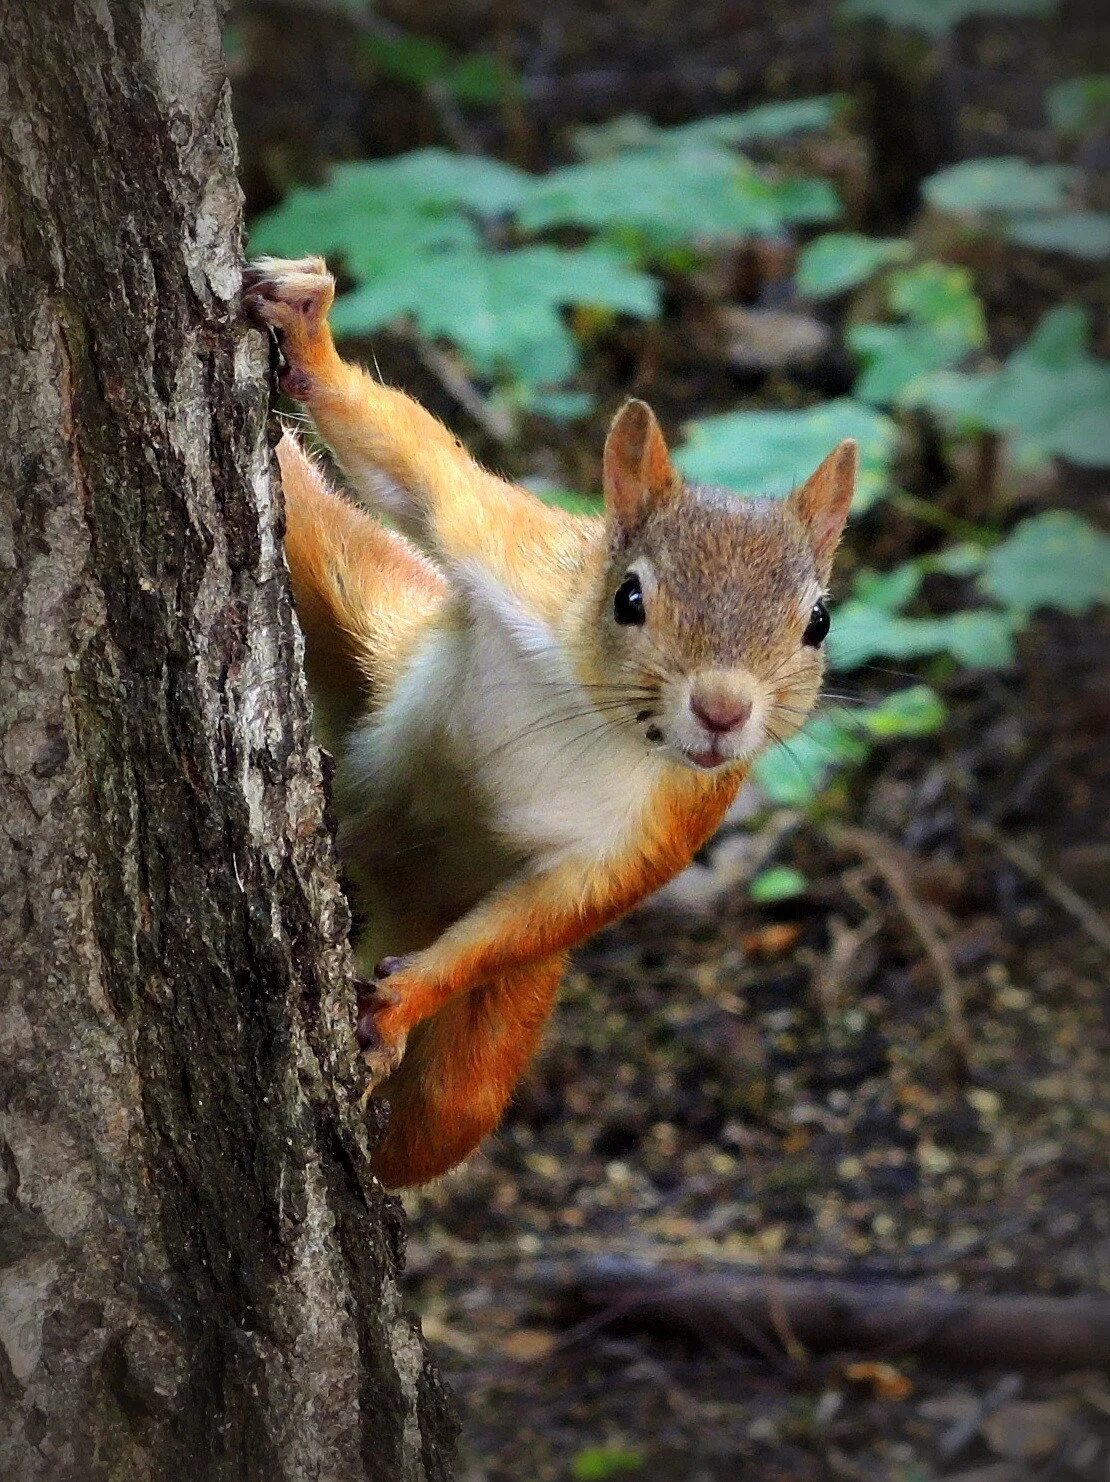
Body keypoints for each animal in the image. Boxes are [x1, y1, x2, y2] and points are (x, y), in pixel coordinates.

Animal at [243, 257, 859, 1191]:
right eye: (629, 596)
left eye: (817, 622)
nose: (723, 711)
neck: (596, 717)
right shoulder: (513, 558)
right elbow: (418, 474)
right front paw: (311, 333)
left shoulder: (667, 826)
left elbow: (548, 913)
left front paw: (406, 1001)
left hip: (480, 1054)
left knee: (440, 1122)